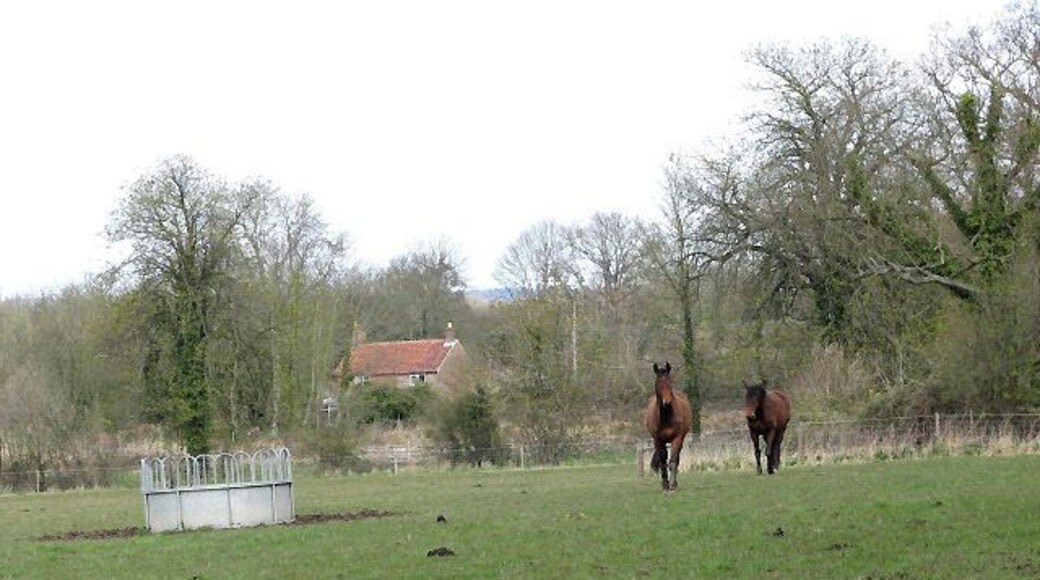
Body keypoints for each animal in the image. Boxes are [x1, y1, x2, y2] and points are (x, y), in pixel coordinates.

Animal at [644, 362, 693, 491]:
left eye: (670, 382)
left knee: (676, 457)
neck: (666, 417)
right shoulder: (658, 440)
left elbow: (673, 460)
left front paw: (672, 483)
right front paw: (665, 484)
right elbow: (662, 460)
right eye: (658, 383)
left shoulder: (677, 438)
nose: (667, 402)